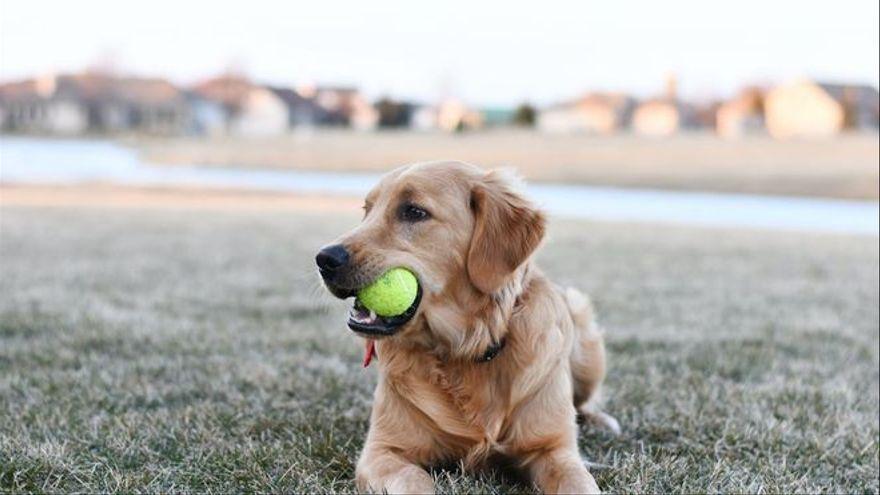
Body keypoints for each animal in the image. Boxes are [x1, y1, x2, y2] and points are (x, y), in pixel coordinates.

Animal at [316, 162, 620, 492]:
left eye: (414, 211)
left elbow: (579, 482)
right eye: (367, 210)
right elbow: (414, 480)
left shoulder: (554, 450)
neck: (466, 347)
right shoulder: (382, 451)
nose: (324, 258)